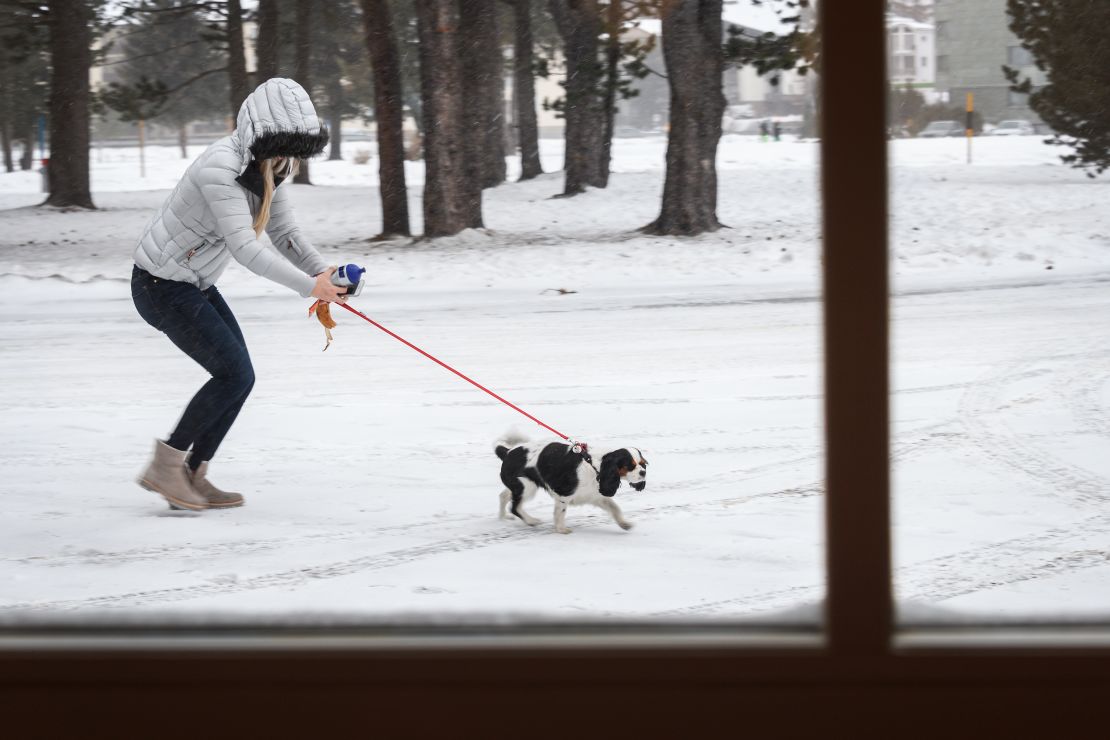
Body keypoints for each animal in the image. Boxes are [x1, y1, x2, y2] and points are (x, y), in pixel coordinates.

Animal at [497, 434, 648, 532]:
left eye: (642, 464)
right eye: (630, 466)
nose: (643, 473)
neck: (596, 466)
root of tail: (508, 452)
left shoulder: (596, 496)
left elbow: (614, 508)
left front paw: (624, 524)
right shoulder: (564, 493)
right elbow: (560, 512)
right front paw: (561, 529)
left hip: (519, 486)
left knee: (504, 496)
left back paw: (503, 517)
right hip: (527, 487)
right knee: (515, 507)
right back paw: (531, 521)